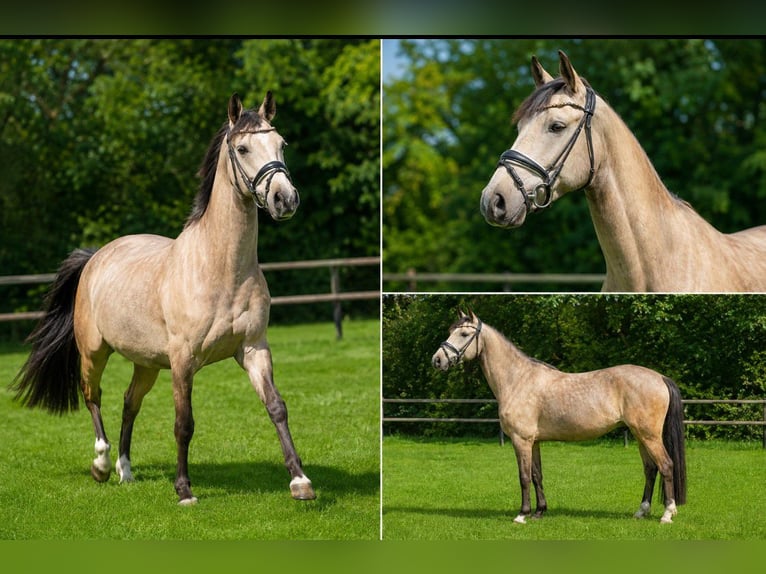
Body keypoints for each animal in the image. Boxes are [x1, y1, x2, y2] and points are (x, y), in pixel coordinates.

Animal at [11, 92, 316, 505]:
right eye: (242, 148)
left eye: (281, 144)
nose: (285, 199)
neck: (221, 268)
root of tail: (96, 257)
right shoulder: (183, 360)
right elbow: (183, 423)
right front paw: (184, 489)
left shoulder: (254, 350)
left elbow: (276, 407)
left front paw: (300, 481)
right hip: (94, 352)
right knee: (94, 397)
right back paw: (102, 465)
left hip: (147, 363)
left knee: (129, 403)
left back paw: (125, 470)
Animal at [431, 310, 686, 524]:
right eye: (450, 331)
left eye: (464, 334)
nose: (437, 360)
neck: (517, 380)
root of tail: (660, 377)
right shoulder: (534, 442)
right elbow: (537, 475)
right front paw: (539, 512)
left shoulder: (521, 440)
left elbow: (524, 476)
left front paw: (522, 515)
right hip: (639, 435)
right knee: (650, 469)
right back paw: (641, 511)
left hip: (649, 435)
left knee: (665, 465)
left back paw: (667, 514)